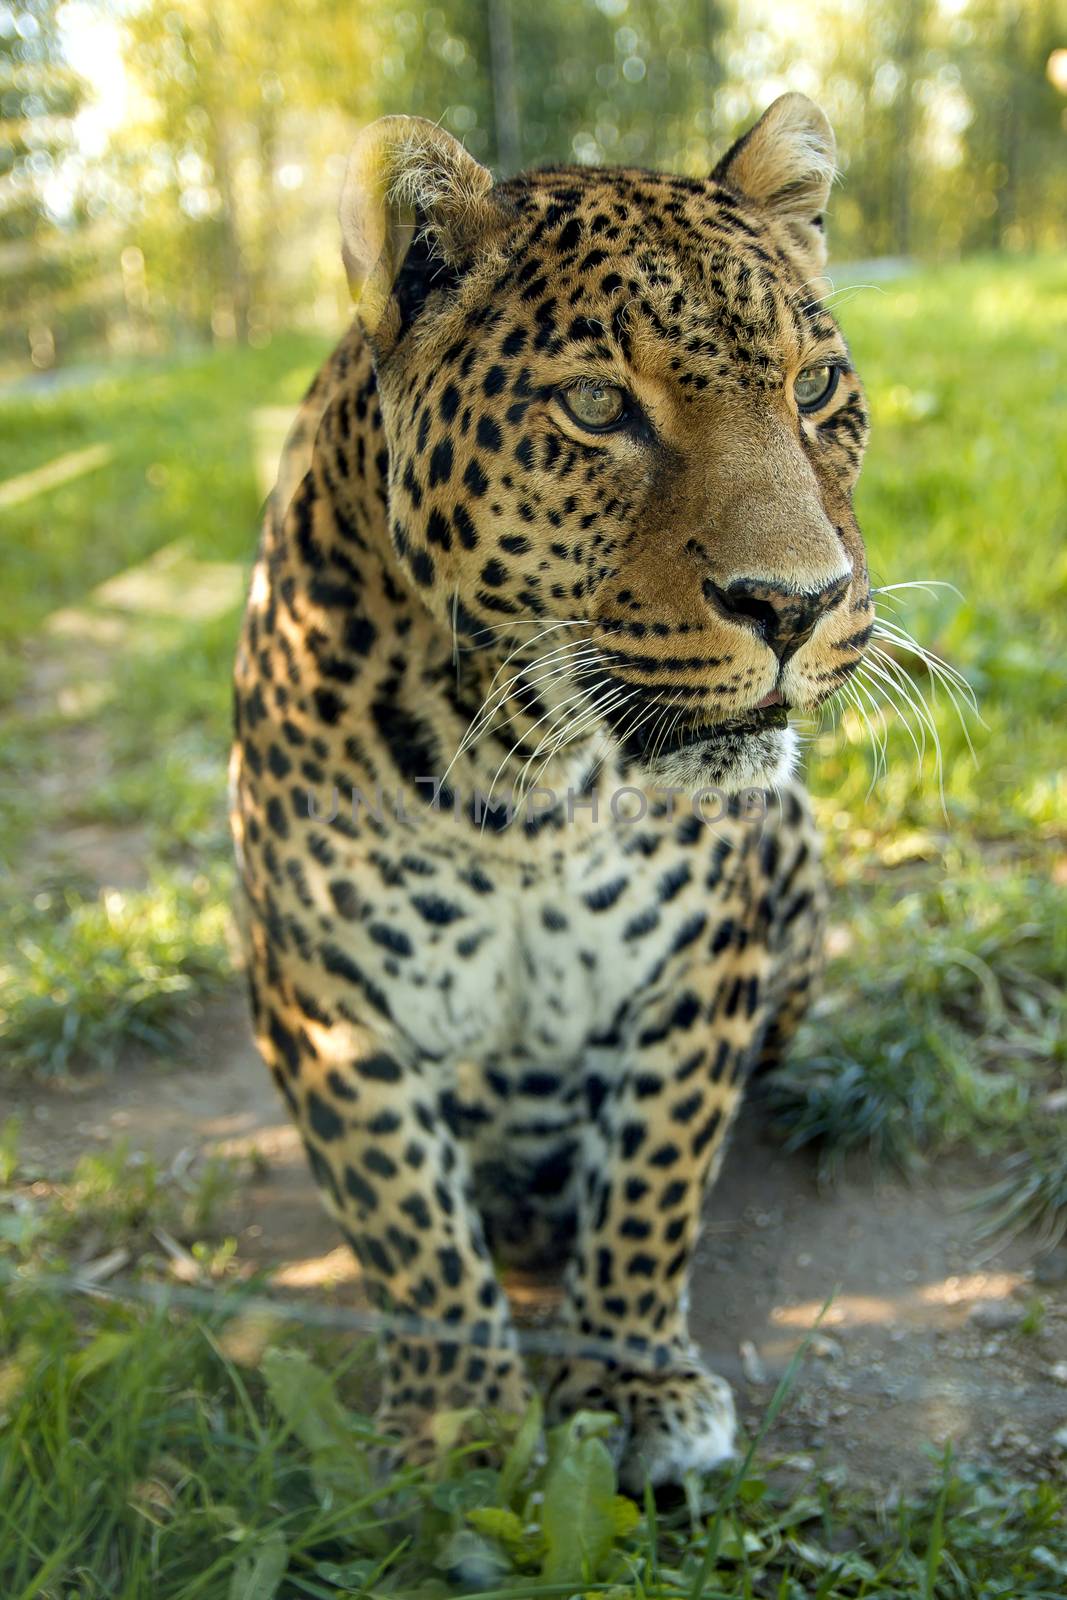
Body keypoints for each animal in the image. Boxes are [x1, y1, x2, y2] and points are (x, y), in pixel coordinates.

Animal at [230, 90, 870, 1484]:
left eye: (811, 388)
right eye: (593, 405)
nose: (795, 604)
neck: (526, 779)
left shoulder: (699, 962)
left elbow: (650, 1184)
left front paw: (633, 1387)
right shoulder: (325, 995)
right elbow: (407, 1219)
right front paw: (465, 1418)